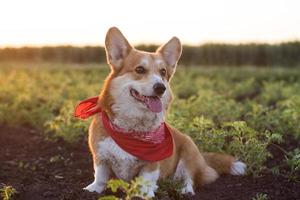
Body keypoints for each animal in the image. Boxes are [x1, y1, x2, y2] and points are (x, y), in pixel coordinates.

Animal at [77, 26, 246, 197]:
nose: (161, 88)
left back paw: (185, 190)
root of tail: (203, 159)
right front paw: (93, 190)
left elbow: (146, 180)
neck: (131, 129)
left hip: (189, 151)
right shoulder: (100, 157)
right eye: (139, 69)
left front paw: (144, 195)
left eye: (163, 72)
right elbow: (100, 175)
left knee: (189, 177)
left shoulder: (152, 163)